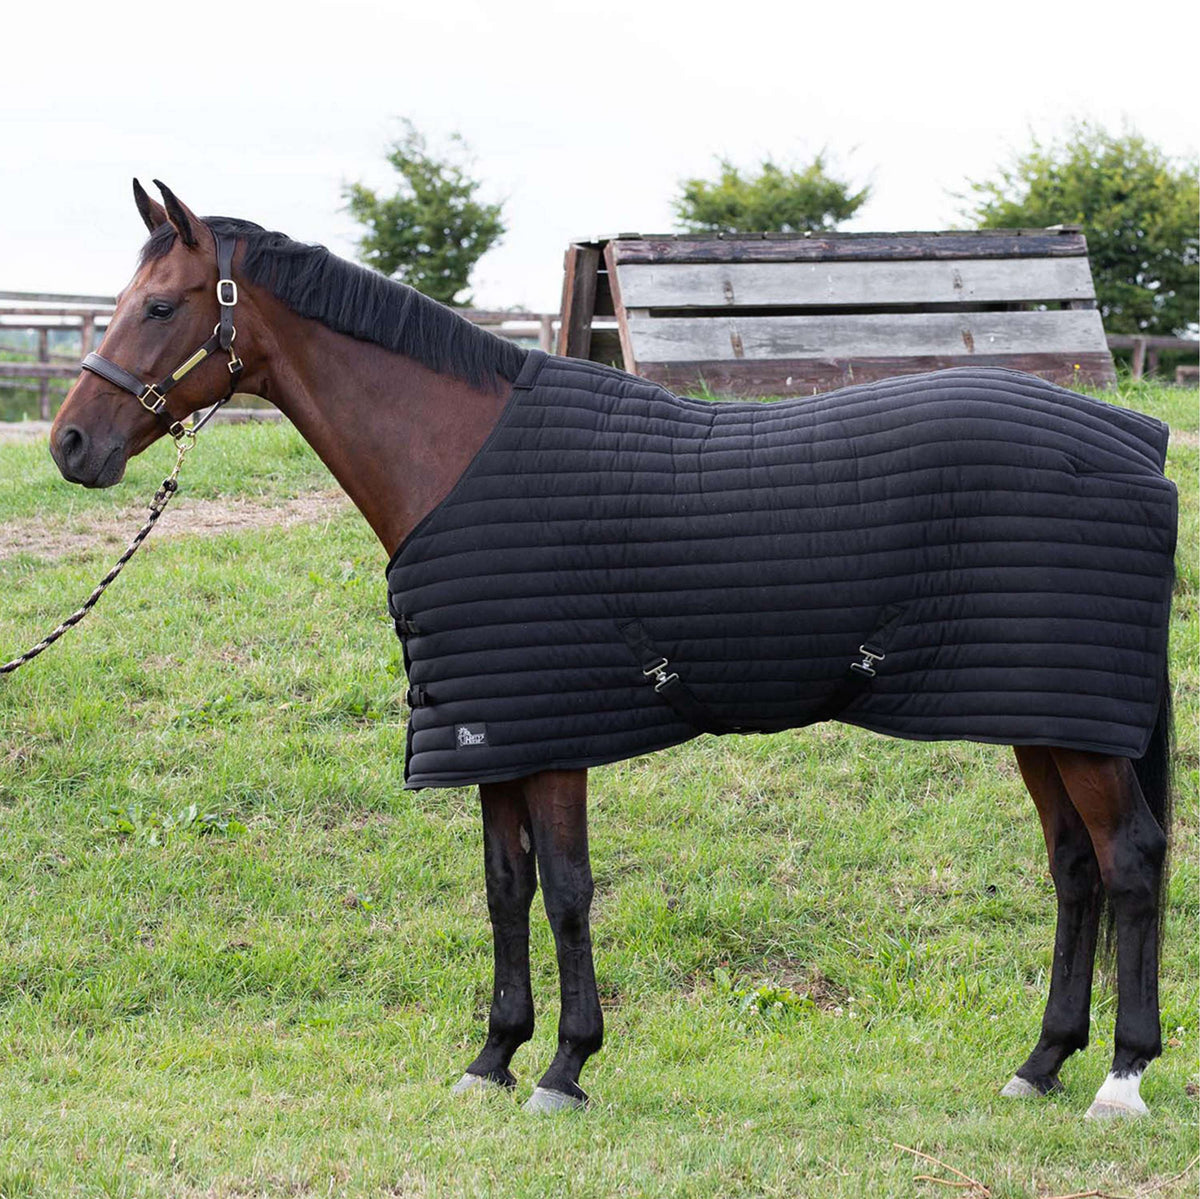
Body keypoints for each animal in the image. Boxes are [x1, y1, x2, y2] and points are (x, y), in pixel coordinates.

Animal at [48, 181, 1176, 1119]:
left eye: (162, 306)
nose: (69, 444)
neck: (456, 455)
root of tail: (1144, 447)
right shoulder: (491, 728)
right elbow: (506, 888)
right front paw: (493, 1056)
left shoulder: (554, 733)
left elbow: (566, 889)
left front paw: (564, 1066)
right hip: (1039, 711)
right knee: (1075, 867)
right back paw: (1041, 1062)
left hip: (1074, 722)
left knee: (1129, 857)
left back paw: (1121, 1076)